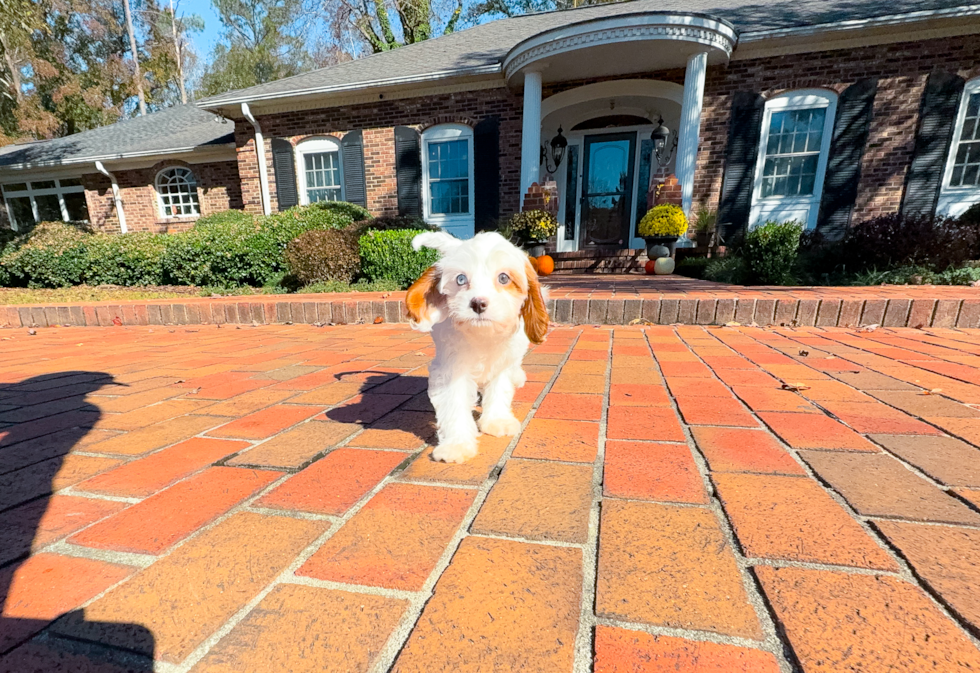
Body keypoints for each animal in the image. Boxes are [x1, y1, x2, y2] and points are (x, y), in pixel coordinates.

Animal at [402, 231, 548, 462]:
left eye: (504, 278)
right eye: (460, 279)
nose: (478, 303)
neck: (483, 335)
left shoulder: (502, 361)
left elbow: (500, 387)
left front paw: (497, 420)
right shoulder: (451, 368)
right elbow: (454, 402)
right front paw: (456, 445)